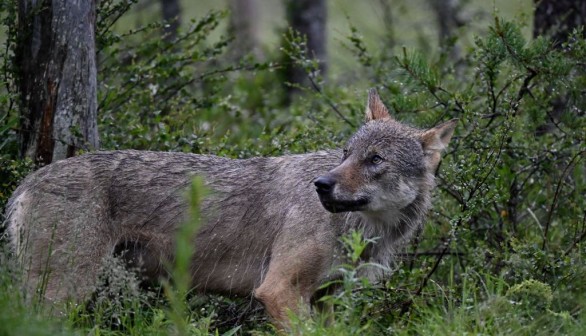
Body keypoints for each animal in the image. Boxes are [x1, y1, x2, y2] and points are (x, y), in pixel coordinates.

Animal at [4, 88, 456, 326]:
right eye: (346, 154)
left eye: (374, 160)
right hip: (62, 296)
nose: (321, 185)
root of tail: (28, 181)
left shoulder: (330, 300)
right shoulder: (279, 291)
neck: (365, 232)